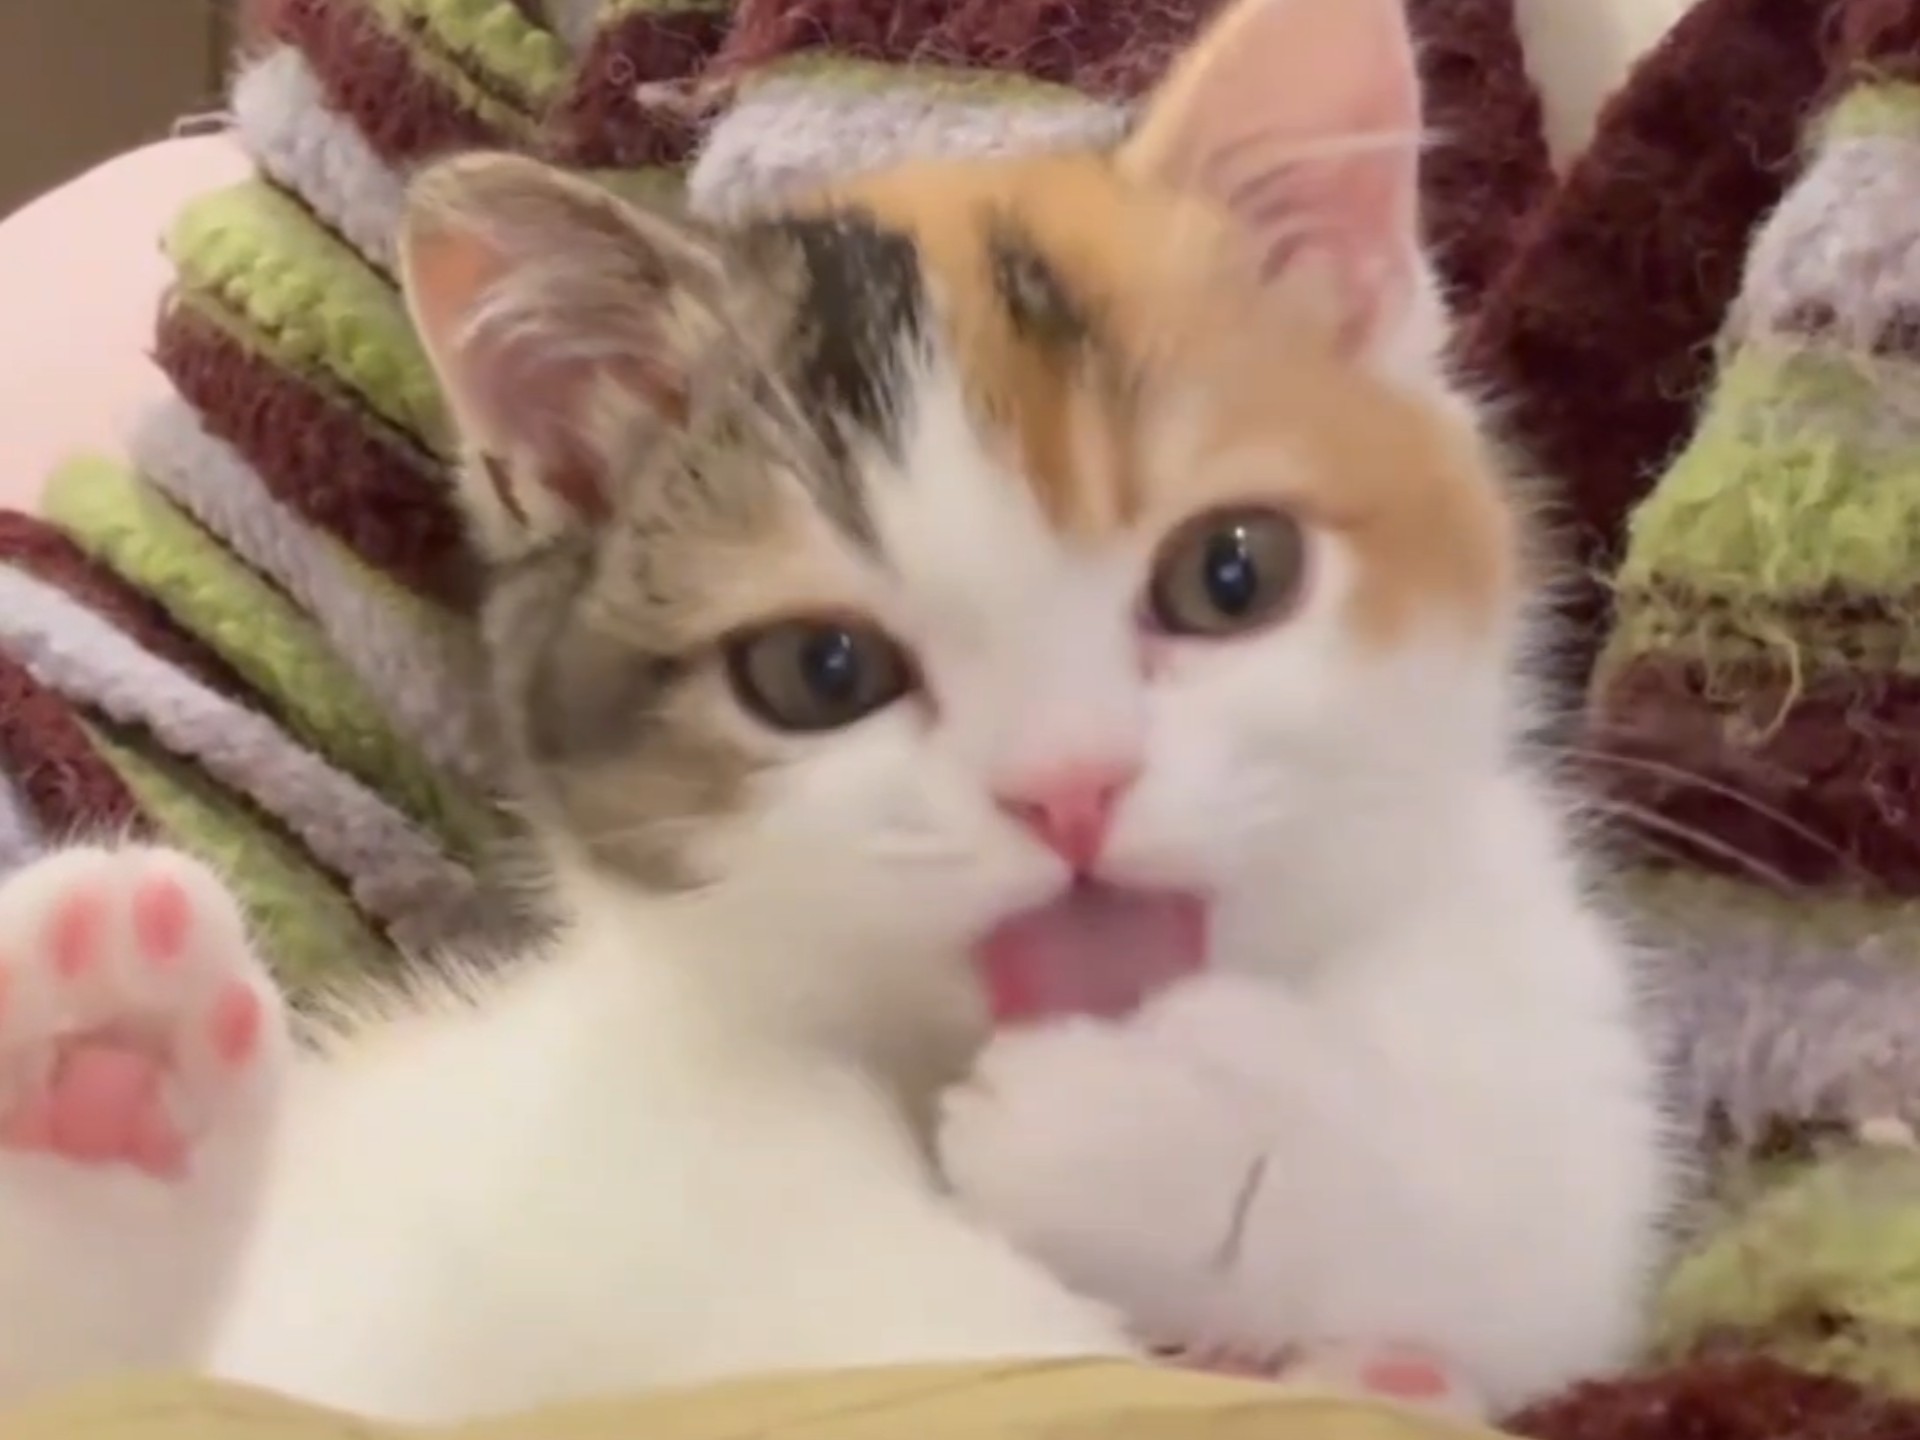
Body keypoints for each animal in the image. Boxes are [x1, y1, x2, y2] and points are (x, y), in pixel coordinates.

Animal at [0, 0, 1672, 1423]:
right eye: (821, 674)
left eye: (1231, 574)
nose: (1071, 789)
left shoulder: (1537, 1043)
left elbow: (1513, 1209)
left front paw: (1155, 1128)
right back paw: (98, 1081)